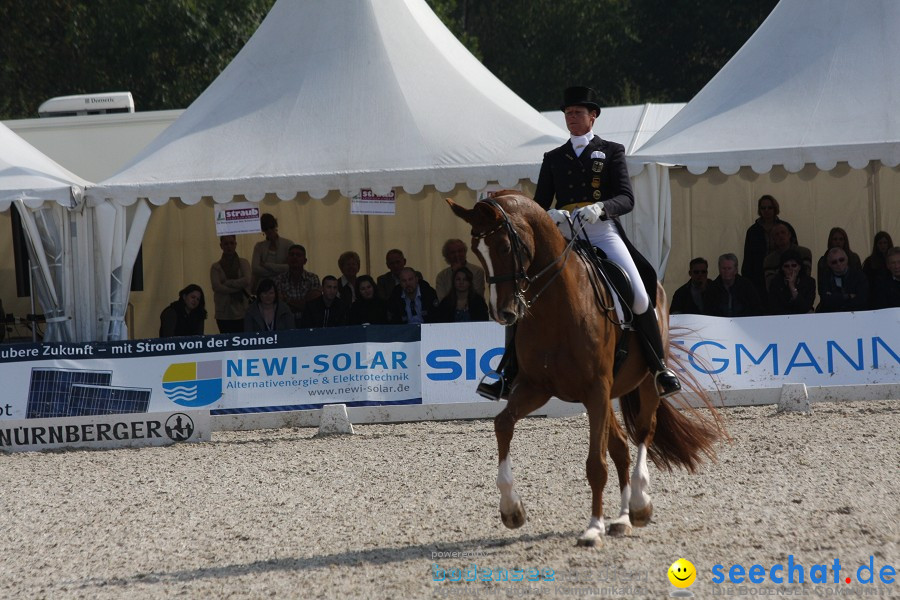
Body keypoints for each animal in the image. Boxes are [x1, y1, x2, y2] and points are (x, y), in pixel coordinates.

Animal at [450, 193, 724, 548]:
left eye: (506, 247)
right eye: (475, 250)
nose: (503, 313)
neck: (555, 307)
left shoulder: (595, 389)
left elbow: (596, 464)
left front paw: (593, 528)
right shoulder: (537, 387)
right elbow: (502, 424)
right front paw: (512, 509)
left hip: (644, 382)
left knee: (643, 432)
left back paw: (638, 505)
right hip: (604, 395)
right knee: (621, 447)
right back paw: (621, 519)